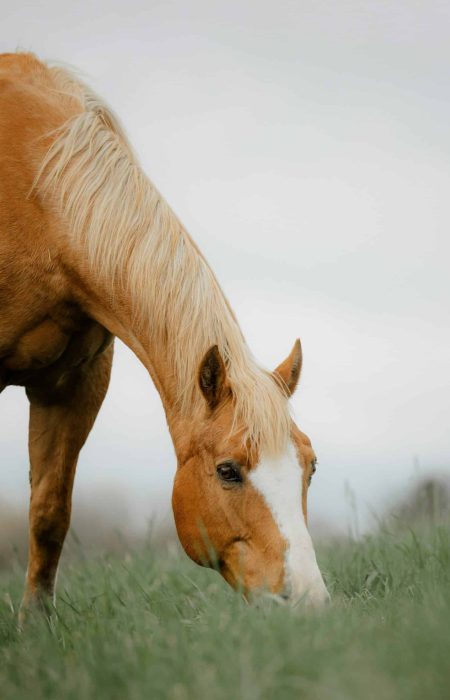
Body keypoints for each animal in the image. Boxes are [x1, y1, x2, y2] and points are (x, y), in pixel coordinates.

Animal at [0, 52, 329, 618]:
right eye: (227, 470)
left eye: (310, 467)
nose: (307, 601)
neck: (34, 197)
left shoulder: (74, 385)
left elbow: (49, 513)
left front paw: (35, 625)